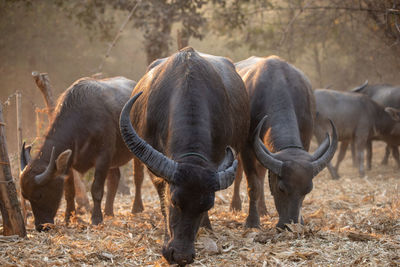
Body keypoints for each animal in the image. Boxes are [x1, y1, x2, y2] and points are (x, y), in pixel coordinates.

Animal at [19, 76, 136, 231]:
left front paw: (96, 219)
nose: (41, 226)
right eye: (26, 197)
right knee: (114, 179)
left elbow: (96, 189)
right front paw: (69, 218)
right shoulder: (69, 163)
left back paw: (136, 208)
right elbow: (69, 192)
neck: (83, 121)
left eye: (40, 195)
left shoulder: (103, 157)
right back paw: (109, 212)